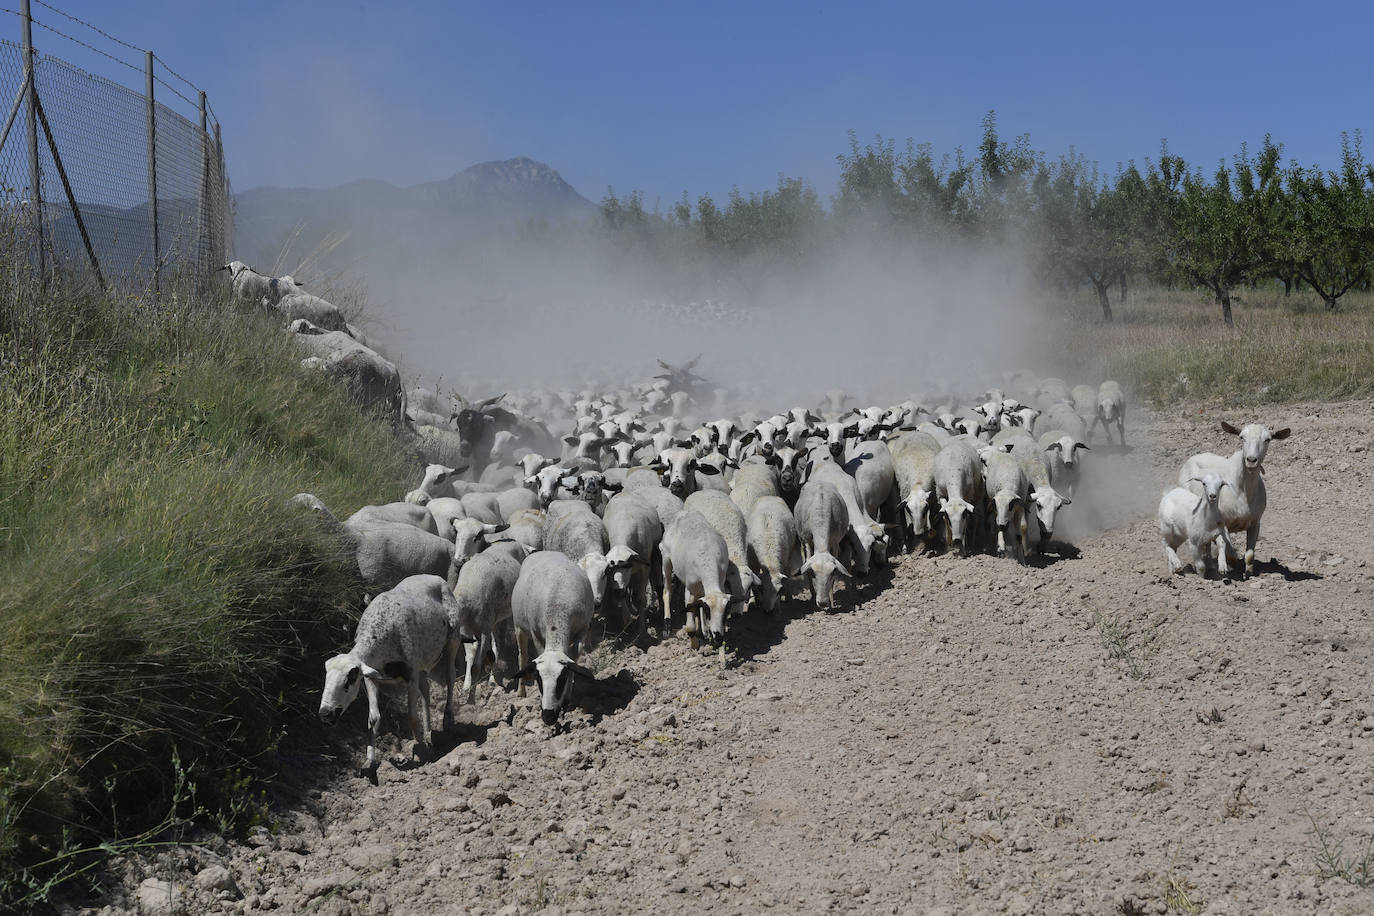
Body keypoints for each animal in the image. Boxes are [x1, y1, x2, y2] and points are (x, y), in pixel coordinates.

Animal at [318, 574, 459, 778]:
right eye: (326, 678)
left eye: (349, 680)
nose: (325, 714)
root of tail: (435, 577)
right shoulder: (371, 678)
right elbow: (373, 718)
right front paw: (369, 762)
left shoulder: (410, 676)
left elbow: (411, 717)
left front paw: (423, 751)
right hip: (423, 663)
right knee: (426, 690)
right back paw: (429, 731)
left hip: (453, 640)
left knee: (450, 677)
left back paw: (447, 719)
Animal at [510, 552, 596, 726]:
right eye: (538, 679)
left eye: (561, 679)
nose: (548, 717)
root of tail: (543, 551)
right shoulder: (536, 633)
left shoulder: (584, 627)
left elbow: (575, 655)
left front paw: (567, 697)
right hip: (519, 627)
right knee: (522, 656)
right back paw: (521, 691)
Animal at [659, 509, 733, 655]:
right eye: (708, 610)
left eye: (726, 611)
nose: (718, 638)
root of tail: (683, 512)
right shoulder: (690, 591)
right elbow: (690, 626)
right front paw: (694, 645)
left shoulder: (719, 584)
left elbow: (697, 607)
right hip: (666, 559)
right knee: (667, 590)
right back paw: (667, 625)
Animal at [1178, 421, 1292, 577]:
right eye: (1241, 437)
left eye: (1267, 439)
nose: (1251, 460)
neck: (1242, 491)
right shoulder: (1223, 522)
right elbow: (1230, 553)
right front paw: (1231, 568)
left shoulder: (1255, 522)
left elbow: (1250, 555)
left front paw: (1248, 573)